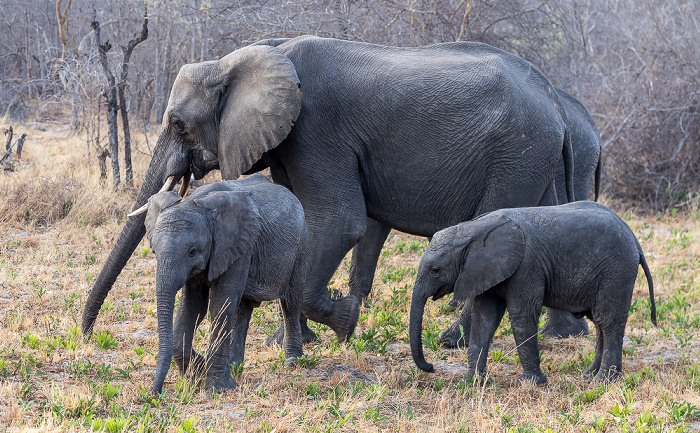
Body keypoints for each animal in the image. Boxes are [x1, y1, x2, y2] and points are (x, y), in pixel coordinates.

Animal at [82, 35, 576, 340]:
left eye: (179, 125)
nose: (86, 333)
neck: (245, 57)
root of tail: (555, 98)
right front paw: (294, 338)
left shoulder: (317, 128)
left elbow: (340, 222)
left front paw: (344, 321)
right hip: (535, 157)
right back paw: (561, 334)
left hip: (517, 153)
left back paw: (452, 340)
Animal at [144, 174, 308, 394]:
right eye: (154, 252)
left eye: (192, 252)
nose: (155, 393)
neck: (195, 203)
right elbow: (193, 307)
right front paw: (198, 373)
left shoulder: (238, 247)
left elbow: (220, 304)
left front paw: (217, 388)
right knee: (242, 308)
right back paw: (234, 367)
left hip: (301, 245)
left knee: (290, 303)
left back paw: (292, 362)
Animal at [410, 201, 656, 384]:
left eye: (435, 270)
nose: (431, 367)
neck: (474, 229)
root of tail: (634, 238)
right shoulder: (485, 270)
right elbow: (484, 318)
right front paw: (473, 383)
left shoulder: (527, 266)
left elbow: (522, 315)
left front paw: (528, 383)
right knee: (599, 323)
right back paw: (589, 375)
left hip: (616, 271)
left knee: (607, 320)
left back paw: (604, 381)